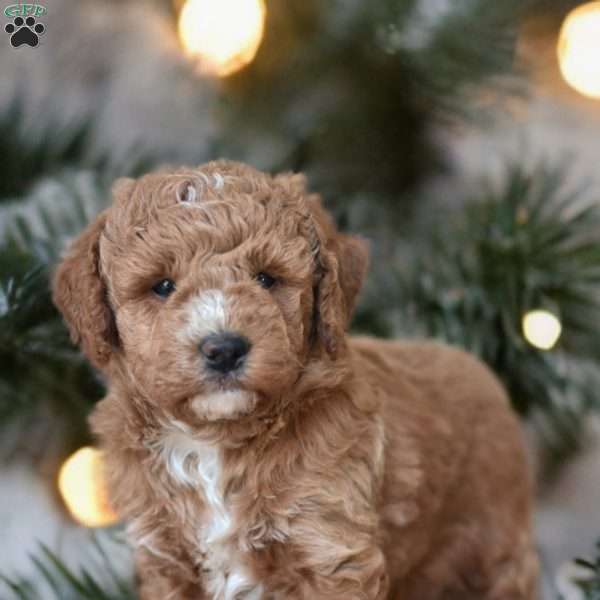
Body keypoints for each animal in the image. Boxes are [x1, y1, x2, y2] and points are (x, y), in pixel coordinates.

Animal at [52, 161, 540, 600]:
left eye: (266, 278)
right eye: (162, 286)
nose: (224, 349)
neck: (216, 442)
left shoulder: (330, 551)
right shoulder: (166, 560)